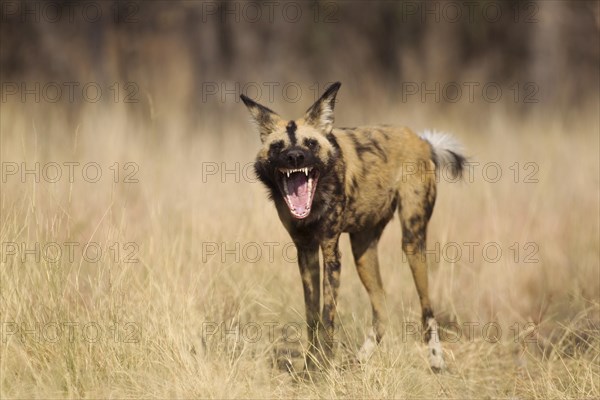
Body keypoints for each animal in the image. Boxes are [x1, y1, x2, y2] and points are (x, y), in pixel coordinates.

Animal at [241, 81, 466, 372]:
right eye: (278, 146)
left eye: (310, 143)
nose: (294, 156)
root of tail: (420, 140)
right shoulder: (306, 253)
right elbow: (312, 317)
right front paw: (310, 366)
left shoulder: (331, 253)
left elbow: (327, 319)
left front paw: (321, 369)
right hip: (363, 251)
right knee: (382, 311)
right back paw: (360, 360)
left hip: (412, 241)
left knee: (427, 309)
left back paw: (436, 359)